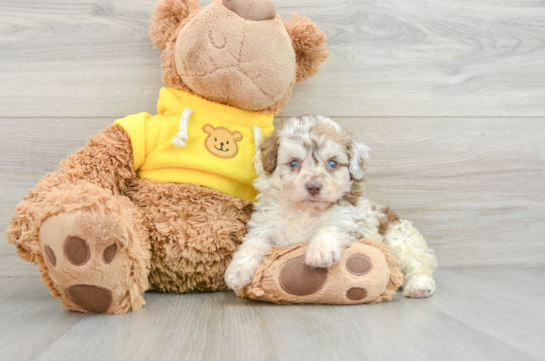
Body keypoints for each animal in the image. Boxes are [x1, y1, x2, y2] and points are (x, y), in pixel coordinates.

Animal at [223, 114, 436, 296]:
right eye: (294, 163)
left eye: (333, 164)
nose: (314, 186)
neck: (306, 211)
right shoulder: (265, 224)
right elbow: (253, 242)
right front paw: (236, 273)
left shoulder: (351, 222)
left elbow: (331, 228)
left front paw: (320, 252)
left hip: (400, 239)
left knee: (417, 264)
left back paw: (419, 286)